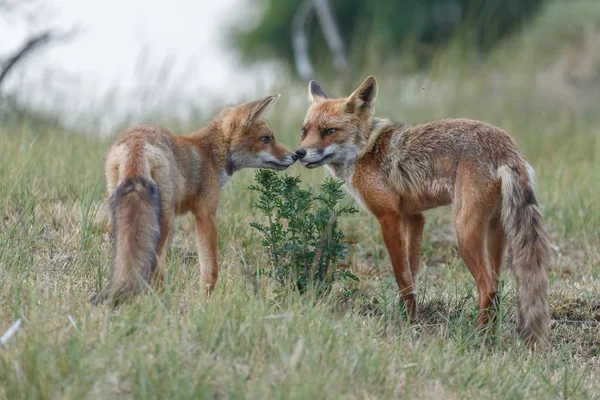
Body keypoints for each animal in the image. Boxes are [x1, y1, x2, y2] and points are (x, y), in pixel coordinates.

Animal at [91, 95, 298, 304]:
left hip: (120, 214)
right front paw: (206, 301)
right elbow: (210, 269)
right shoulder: (206, 214)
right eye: (266, 139)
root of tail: (137, 143)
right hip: (165, 223)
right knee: (154, 267)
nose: (295, 155)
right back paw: (163, 302)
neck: (210, 155)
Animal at [296, 76, 548, 346]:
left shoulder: (389, 217)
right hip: (495, 232)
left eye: (329, 131)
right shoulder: (414, 217)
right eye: (304, 131)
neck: (364, 151)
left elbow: (401, 276)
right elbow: (412, 275)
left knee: (487, 288)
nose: (299, 153)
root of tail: (506, 144)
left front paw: (405, 323)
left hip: (464, 233)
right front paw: (411, 318)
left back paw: (477, 338)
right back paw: (490, 336)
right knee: (498, 287)